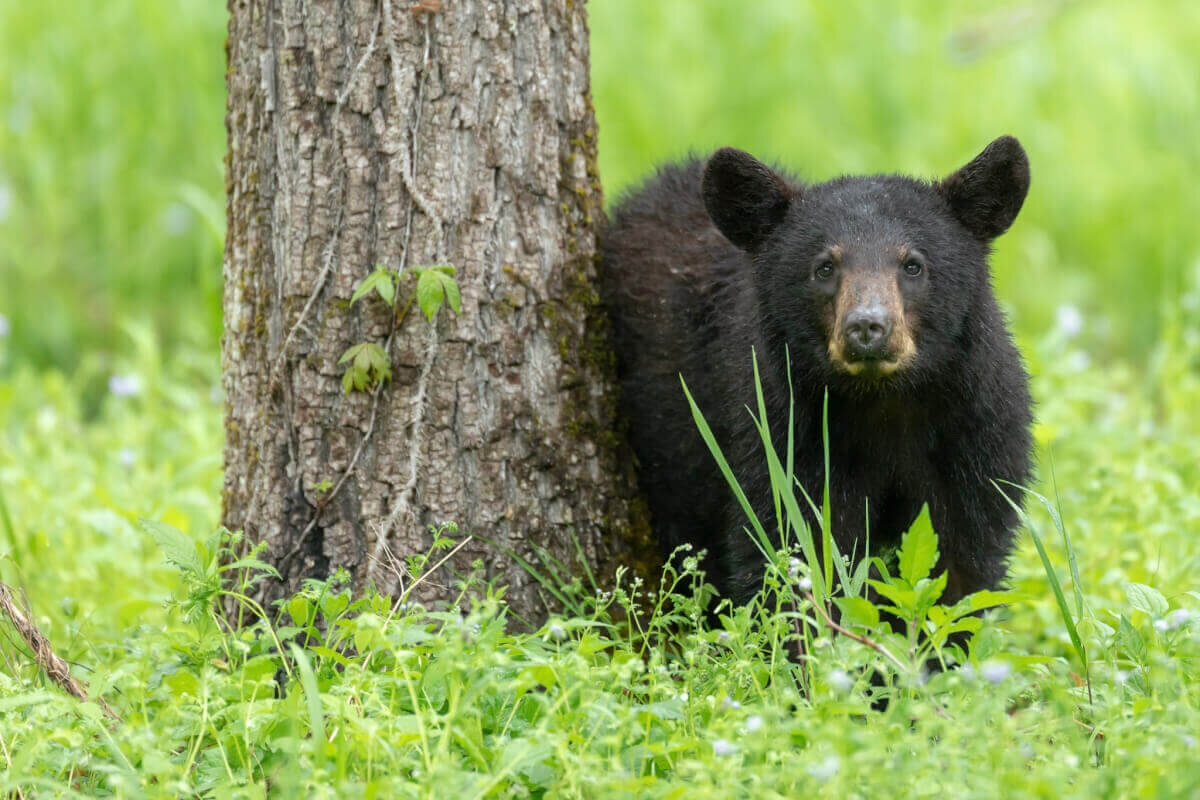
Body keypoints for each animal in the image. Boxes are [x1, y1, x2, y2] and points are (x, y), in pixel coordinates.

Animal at [604, 137, 1036, 606]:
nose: (867, 327)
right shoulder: (783, 434)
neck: (883, 403)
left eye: (913, 265)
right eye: (824, 267)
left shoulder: (976, 438)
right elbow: (790, 548)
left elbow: (962, 568)